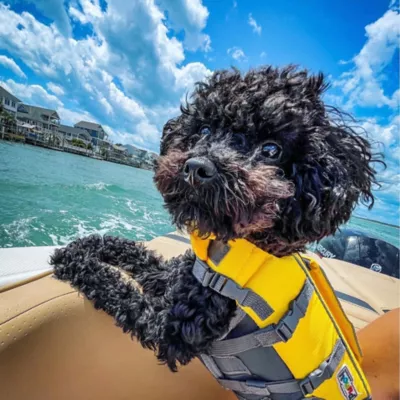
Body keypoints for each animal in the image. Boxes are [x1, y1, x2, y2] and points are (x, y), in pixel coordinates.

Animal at [50, 65, 382, 372]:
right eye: (205, 130)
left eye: (271, 149)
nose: (197, 167)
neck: (240, 245)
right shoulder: (178, 277)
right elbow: (140, 255)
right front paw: (93, 243)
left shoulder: (171, 328)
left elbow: (116, 289)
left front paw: (75, 259)